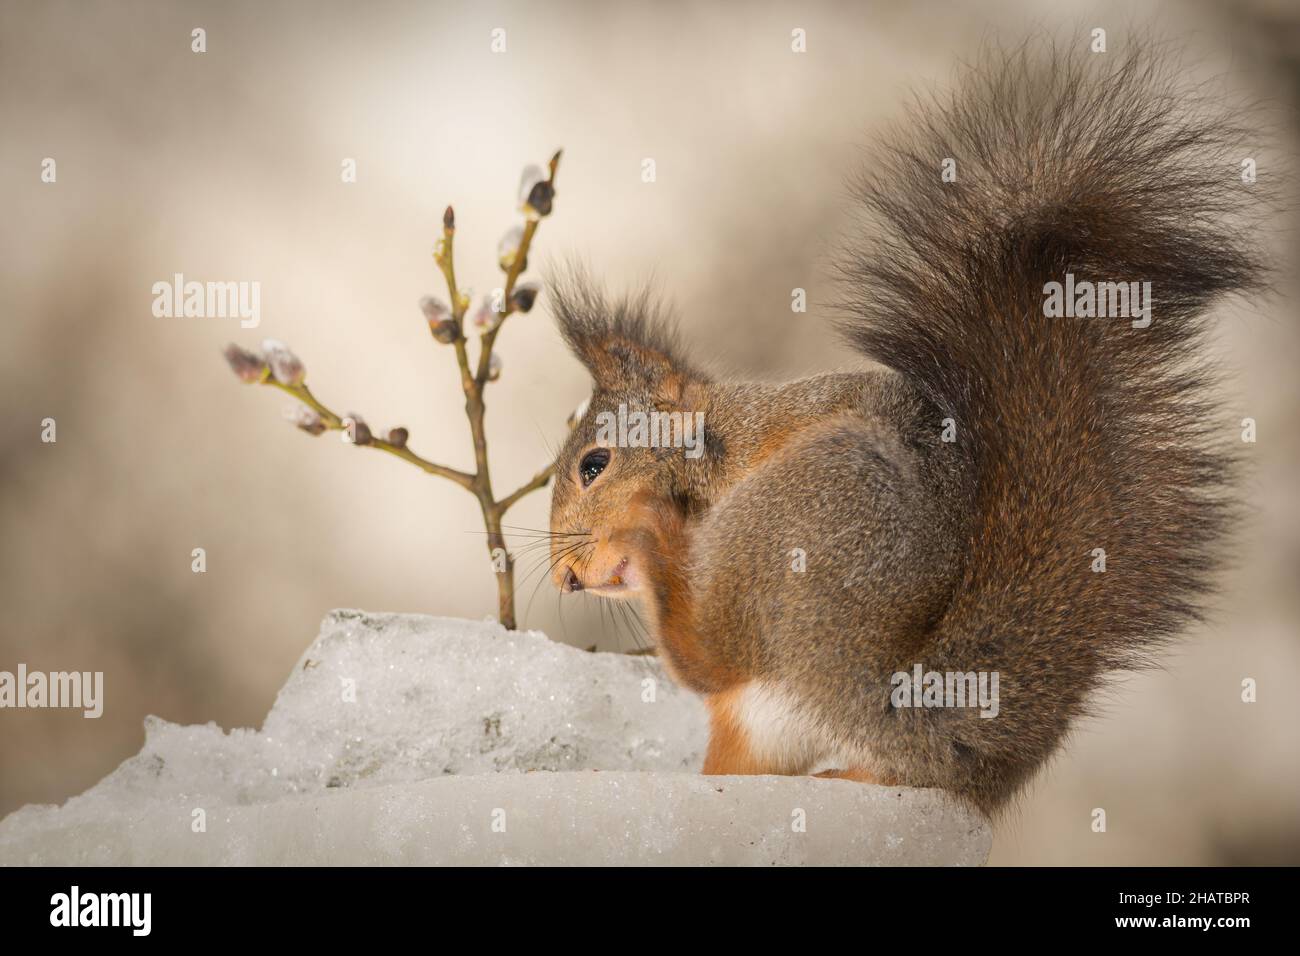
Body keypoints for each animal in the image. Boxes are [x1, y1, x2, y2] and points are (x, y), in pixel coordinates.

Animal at [543, 42, 1263, 816]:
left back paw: (656, 536)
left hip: (808, 508)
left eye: (594, 464)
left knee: (707, 660)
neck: (727, 436)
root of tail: (922, 730)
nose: (566, 578)